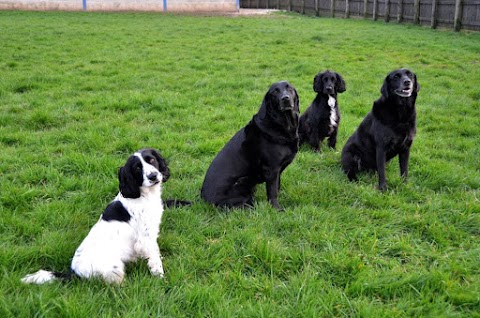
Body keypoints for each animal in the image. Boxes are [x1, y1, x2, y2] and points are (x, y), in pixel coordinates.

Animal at [23, 148, 172, 284]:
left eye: (151, 160)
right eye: (137, 168)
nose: (153, 176)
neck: (144, 195)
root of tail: (74, 272)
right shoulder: (145, 238)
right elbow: (155, 260)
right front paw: (161, 278)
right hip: (114, 268)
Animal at [202, 81, 300, 211]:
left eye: (289, 88)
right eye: (275, 91)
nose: (285, 98)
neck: (281, 124)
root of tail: (203, 200)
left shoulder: (278, 171)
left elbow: (277, 187)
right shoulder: (271, 169)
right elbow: (272, 191)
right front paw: (276, 209)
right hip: (243, 181)